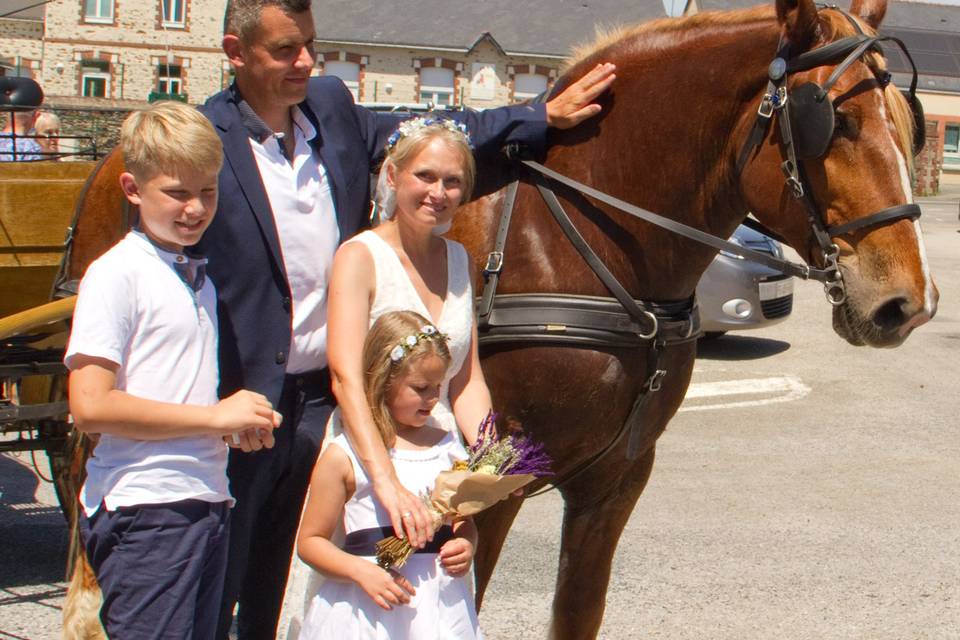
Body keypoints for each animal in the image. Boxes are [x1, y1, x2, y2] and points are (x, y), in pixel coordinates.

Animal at [450, 0, 936, 636]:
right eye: (836, 121)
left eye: (908, 119)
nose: (909, 302)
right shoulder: (487, 490)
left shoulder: (614, 484)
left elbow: (577, 609)